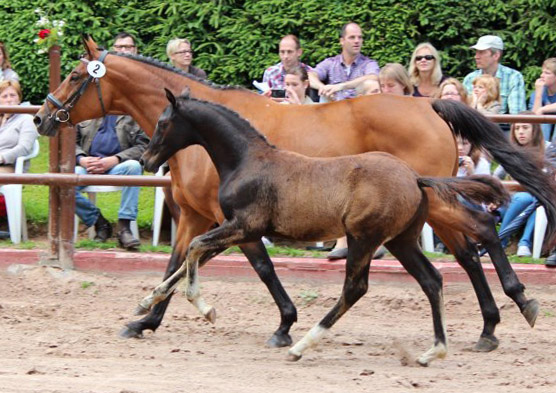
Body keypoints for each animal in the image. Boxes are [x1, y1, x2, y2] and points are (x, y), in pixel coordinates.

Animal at [138, 90, 508, 362]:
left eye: (163, 123)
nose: (145, 160)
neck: (247, 160)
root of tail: (416, 179)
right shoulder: (236, 228)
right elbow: (191, 258)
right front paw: (146, 305)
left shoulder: (244, 226)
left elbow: (196, 248)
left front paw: (206, 309)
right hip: (401, 240)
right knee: (432, 280)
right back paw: (436, 350)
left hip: (363, 238)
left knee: (356, 288)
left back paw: (303, 345)